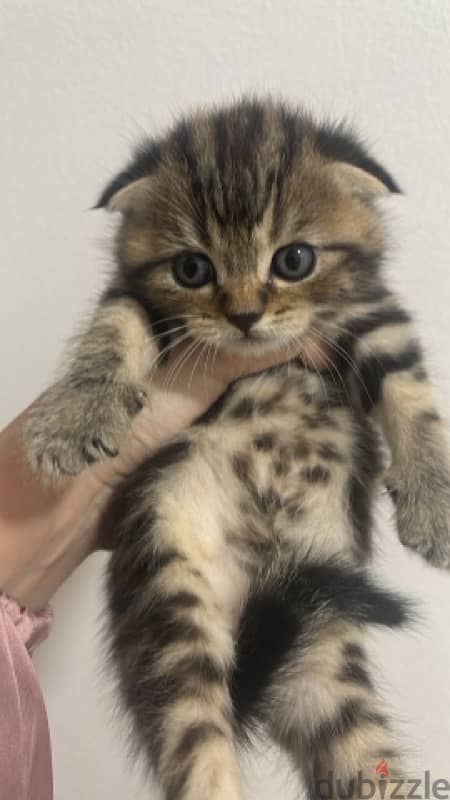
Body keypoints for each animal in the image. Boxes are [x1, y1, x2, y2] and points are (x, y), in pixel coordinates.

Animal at [23, 100, 450, 800]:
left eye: (294, 260)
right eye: (192, 269)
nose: (246, 316)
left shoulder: (373, 311)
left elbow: (411, 393)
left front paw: (434, 498)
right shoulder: (136, 298)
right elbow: (112, 330)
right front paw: (73, 415)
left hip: (331, 669)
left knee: (362, 752)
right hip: (171, 605)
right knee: (200, 748)